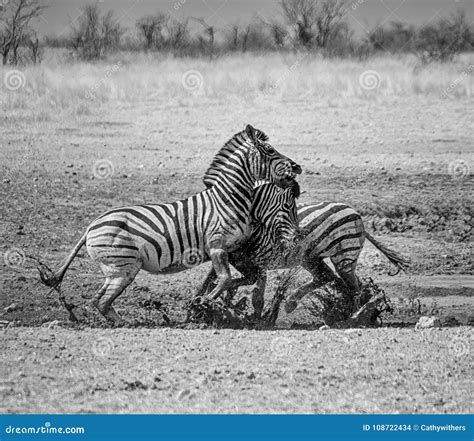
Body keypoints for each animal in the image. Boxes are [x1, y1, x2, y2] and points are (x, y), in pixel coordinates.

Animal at [39, 125, 300, 322]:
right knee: (102, 301)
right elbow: (225, 279)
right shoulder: (217, 246)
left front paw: (204, 301)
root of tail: (90, 227)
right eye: (270, 150)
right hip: (123, 268)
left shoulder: (233, 250)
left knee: (97, 300)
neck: (231, 199)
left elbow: (240, 278)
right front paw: (204, 302)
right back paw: (127, 325)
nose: (297, 167)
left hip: (116, 270)